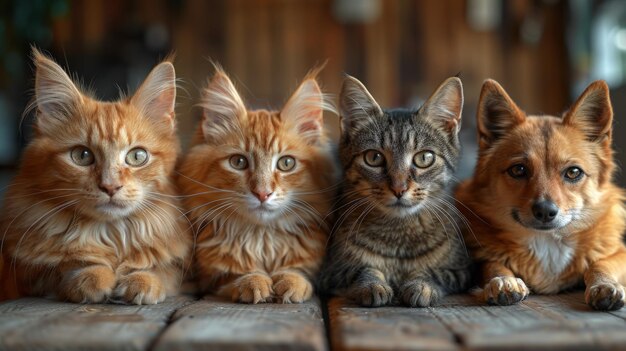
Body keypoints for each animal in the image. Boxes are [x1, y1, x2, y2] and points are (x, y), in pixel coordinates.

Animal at [0, 49, 190, 306]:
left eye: (137, 156)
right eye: (82, 156)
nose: (110, 186)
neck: (111, 234)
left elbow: (165, 270)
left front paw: (143, 279)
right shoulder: (24, 271)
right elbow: (64, 266)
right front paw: (92, 276)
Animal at [177, 67, 336, 304]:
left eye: (286, 163)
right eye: (238, 162)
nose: (262, 193)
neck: (262, 238)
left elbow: (299, 272)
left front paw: (292, 282)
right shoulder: (210, 277)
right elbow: (237, 274)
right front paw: (253, 281)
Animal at [320, 75, 470, 306]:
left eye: (424, 158)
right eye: (374, 157)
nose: (399, 188)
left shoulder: (460, 270)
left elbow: (434, 272)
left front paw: (421, 285)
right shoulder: (332, 271)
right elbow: (363, 269)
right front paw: (372, 284)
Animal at [454, 79, 624, 310]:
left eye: (573, 172)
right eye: (518, 170)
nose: (545, 211)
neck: (548, 243)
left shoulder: (620, 252)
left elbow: (601, 263)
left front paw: (604, 284)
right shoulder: (478, 259)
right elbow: (493, 265)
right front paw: (504, 280)